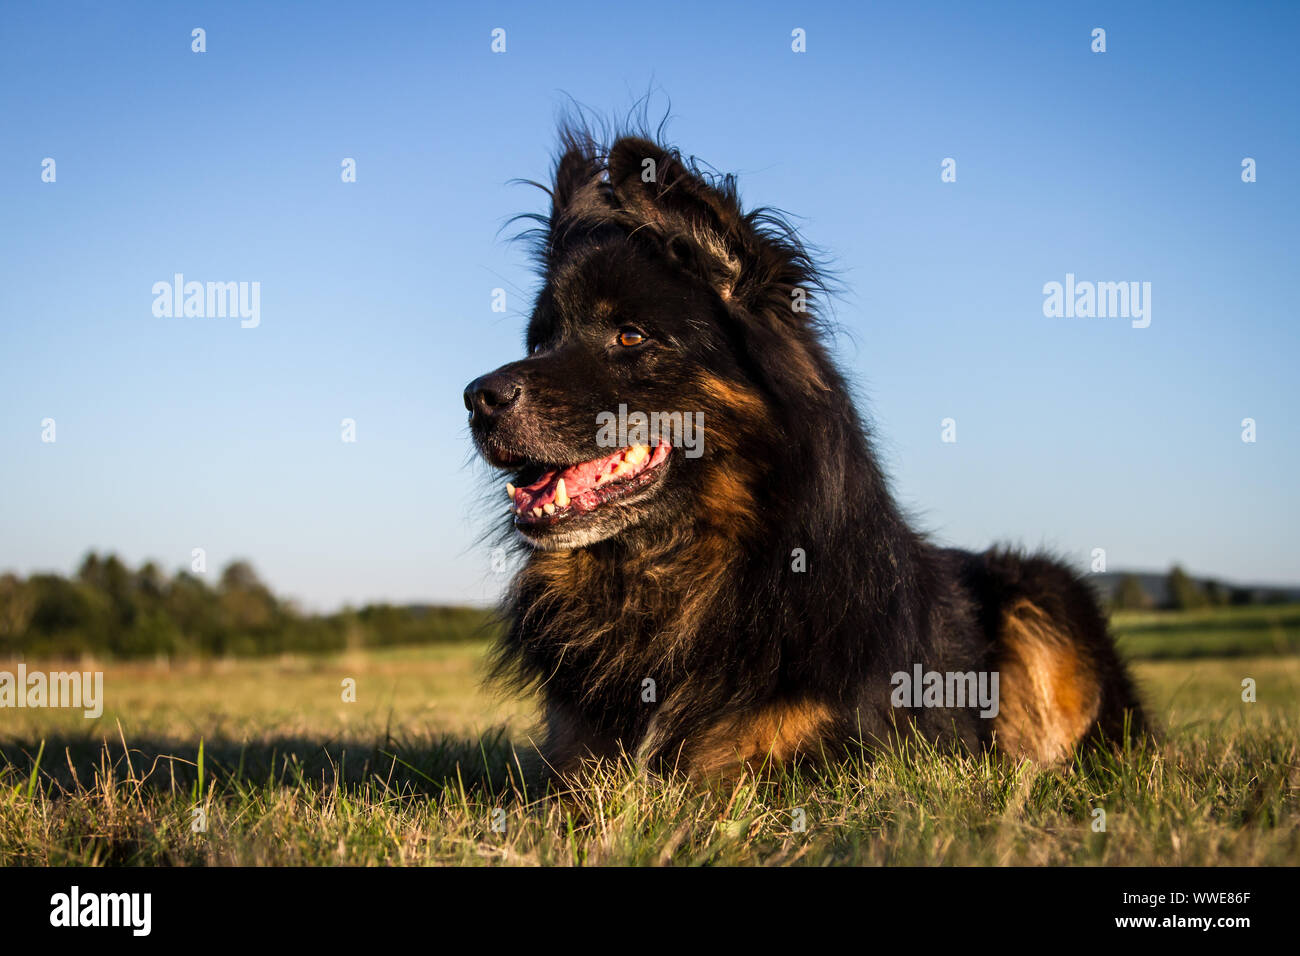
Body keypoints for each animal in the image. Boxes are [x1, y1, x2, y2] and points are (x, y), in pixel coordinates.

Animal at [465, 125, 1149, 785]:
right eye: (540, 340)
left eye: (631, 336)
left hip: (1042, 594)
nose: (476, 398)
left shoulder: (827, 763)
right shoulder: (575, 761)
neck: (679, 568)